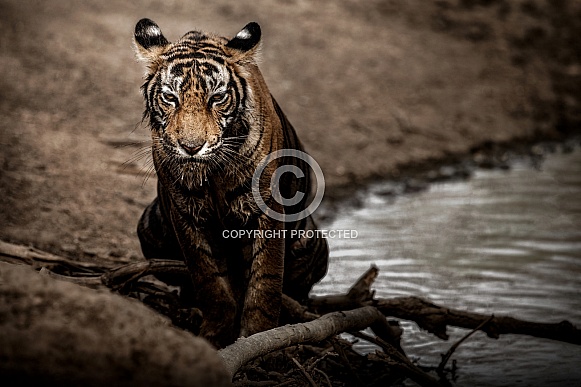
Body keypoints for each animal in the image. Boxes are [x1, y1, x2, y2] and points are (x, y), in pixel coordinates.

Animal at [133, 19, 328, 348]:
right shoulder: (184, 212)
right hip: (150, 229)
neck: (212, 174)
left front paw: (259, 336)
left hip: (310, 241)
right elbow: (209, 281)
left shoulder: (267, 211)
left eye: (217, 98)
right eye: (170, 98)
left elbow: (265, 282)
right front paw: (215, 335)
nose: (191, 147)